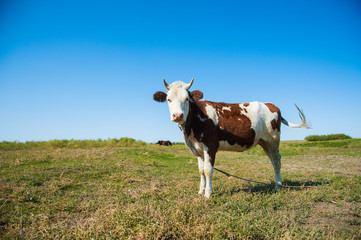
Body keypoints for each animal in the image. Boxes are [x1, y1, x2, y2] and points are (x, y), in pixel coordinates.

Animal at [153, 78, 310, 198]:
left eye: (187, 99)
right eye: (168, 99)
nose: (177, 115)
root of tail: (270, 104)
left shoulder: (211, 146)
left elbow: (208, 170)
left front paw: (208, 194)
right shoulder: (198, 150)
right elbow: (201, 171)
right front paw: (200, 191)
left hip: (273, 139)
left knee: (277, 161)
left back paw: (278, 186)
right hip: (264, 142)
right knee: (273, 160)